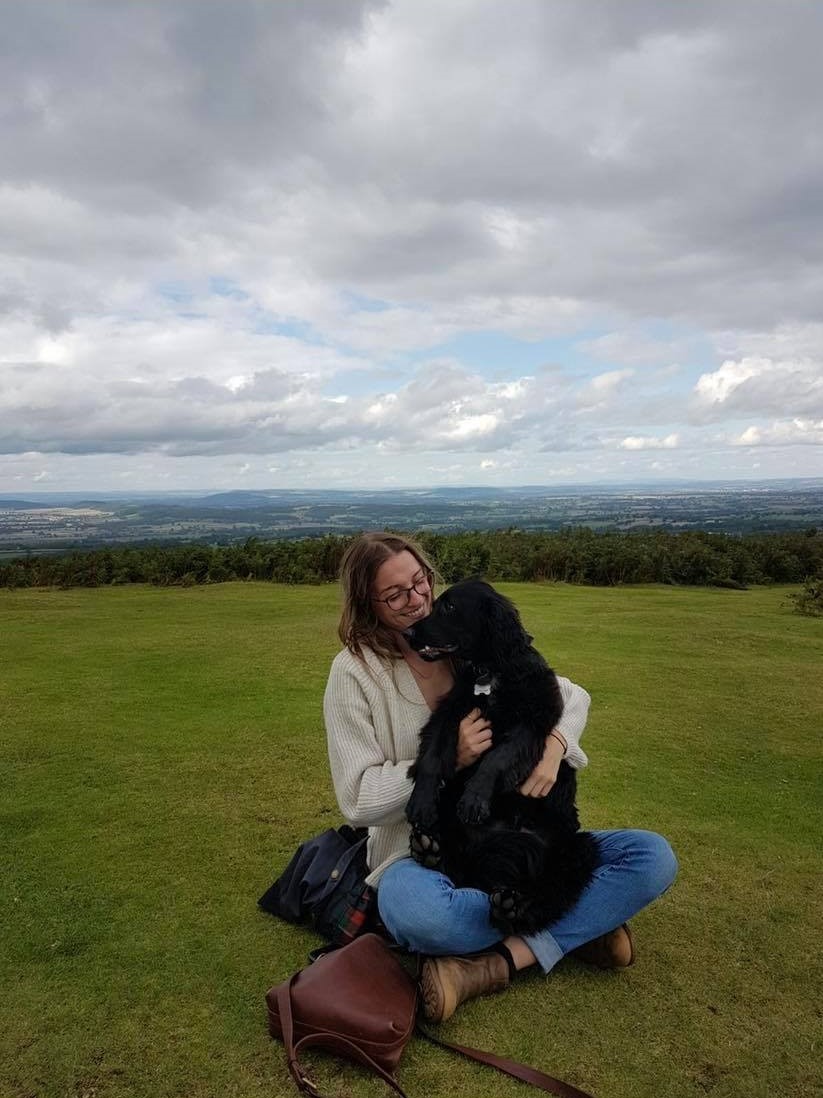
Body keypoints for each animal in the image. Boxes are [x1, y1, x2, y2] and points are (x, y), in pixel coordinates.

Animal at [406, 579, 601, 931]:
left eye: (450, 607)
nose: (408, 633)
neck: (491, 673)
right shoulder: (452, 711)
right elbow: (431, 757)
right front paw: (421, 801)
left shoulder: (532, 722)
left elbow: (497, 758)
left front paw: (475, 798)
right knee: (458, 865)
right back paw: (429, 850)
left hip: (577, 848)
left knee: (554, 891)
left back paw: (514, 907)